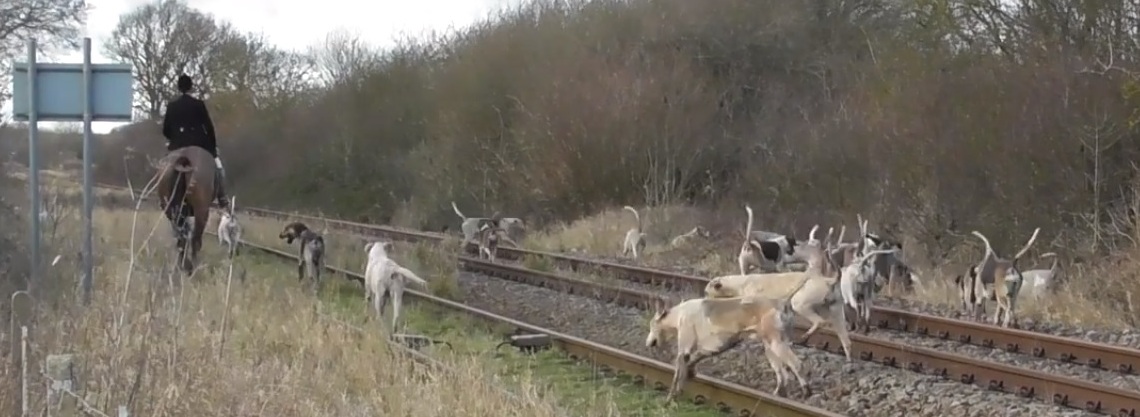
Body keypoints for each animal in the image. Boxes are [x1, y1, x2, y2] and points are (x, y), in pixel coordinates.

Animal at [156, 145, 215, 273]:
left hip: (172, 211)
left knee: (181, 238)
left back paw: (184, 264)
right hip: (201, 211)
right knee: (195, 239)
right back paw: (194, 266)